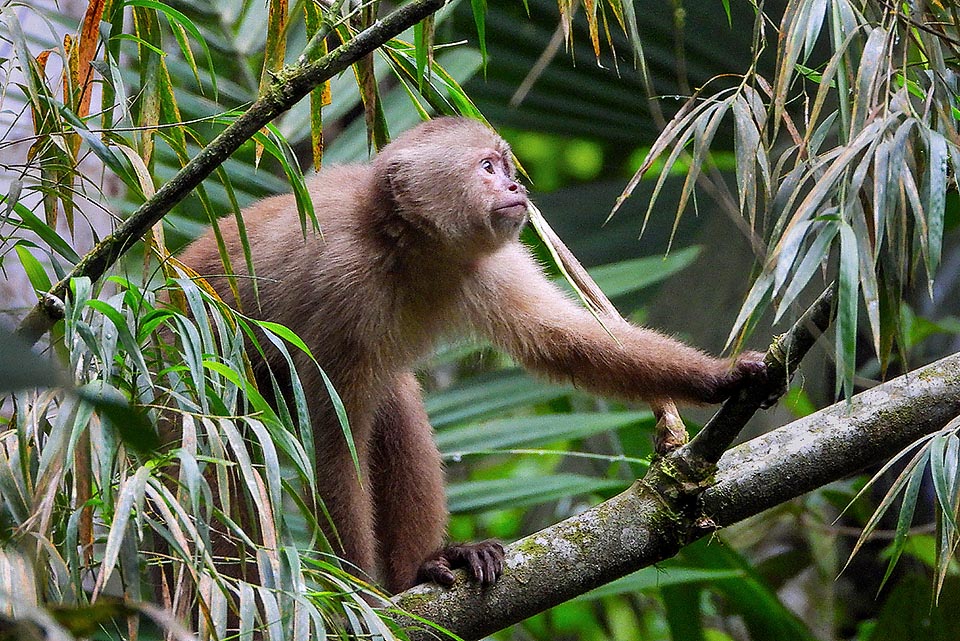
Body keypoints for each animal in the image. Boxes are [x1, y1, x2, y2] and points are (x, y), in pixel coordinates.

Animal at [178, 116, 764, 596]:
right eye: (487, 168)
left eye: (506, 168)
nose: (516, 187)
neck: (405, 247)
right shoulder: (345, 283)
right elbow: (334, 442)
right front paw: (363, 600)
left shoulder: (491, 262)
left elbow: (569, 342)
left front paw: (725, 377)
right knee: (221, 450)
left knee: (393, 402)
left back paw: (421, 567)